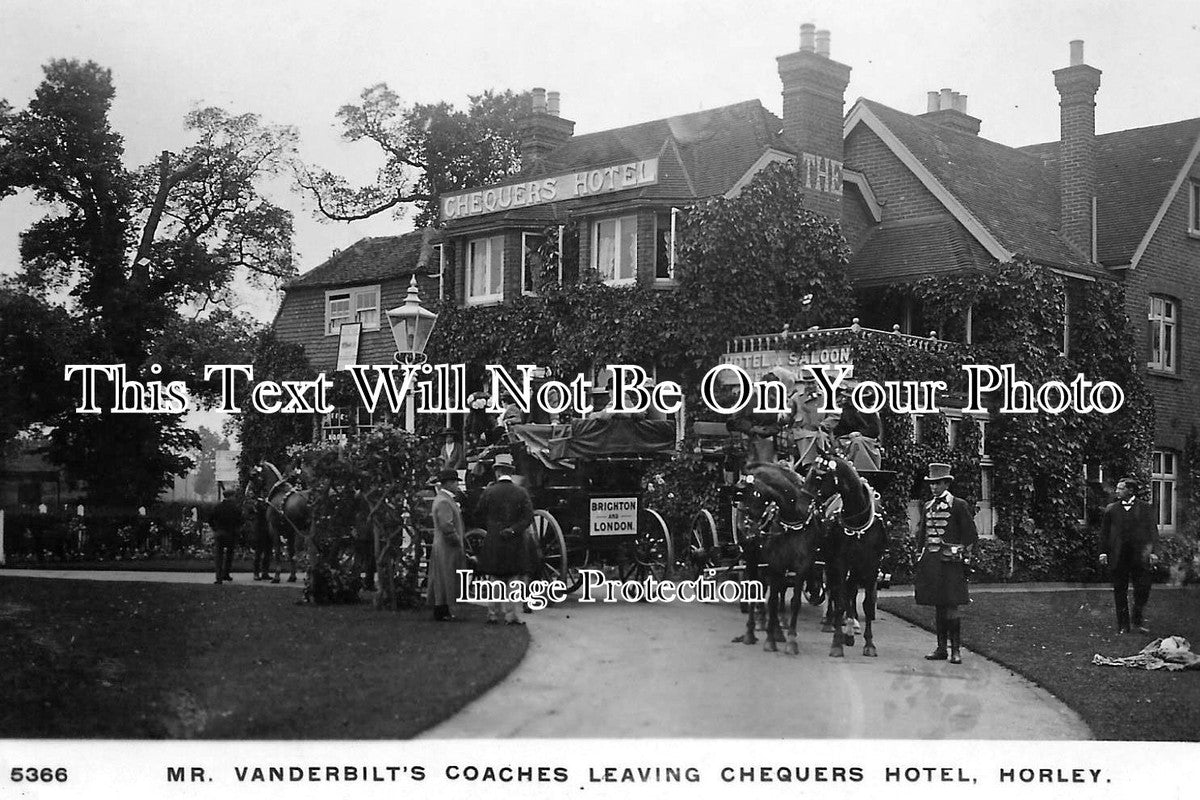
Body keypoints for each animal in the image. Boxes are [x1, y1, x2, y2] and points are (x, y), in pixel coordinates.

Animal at [729, 460, 825, 652]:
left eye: (751, 494)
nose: (748, 529)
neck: (793, 517)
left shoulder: (802, 566)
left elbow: (794, 602)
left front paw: (790, 639)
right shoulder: (776, 564)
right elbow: (772, 600)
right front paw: (770, 640)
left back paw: (777, 630)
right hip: (752, 558)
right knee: (754, 590)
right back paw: (750, 632)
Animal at [801, 453, 888, 662]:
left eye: (817, 475)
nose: (802, 500)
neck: (857, 520)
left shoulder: (871, 566)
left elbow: (866, 605)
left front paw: (869, 644)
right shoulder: (840, 563)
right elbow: (839, 601)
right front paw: (837, 643)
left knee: (850, 591)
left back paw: (850, 626)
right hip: (830, 562)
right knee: (834, 590)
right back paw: (830, 621)